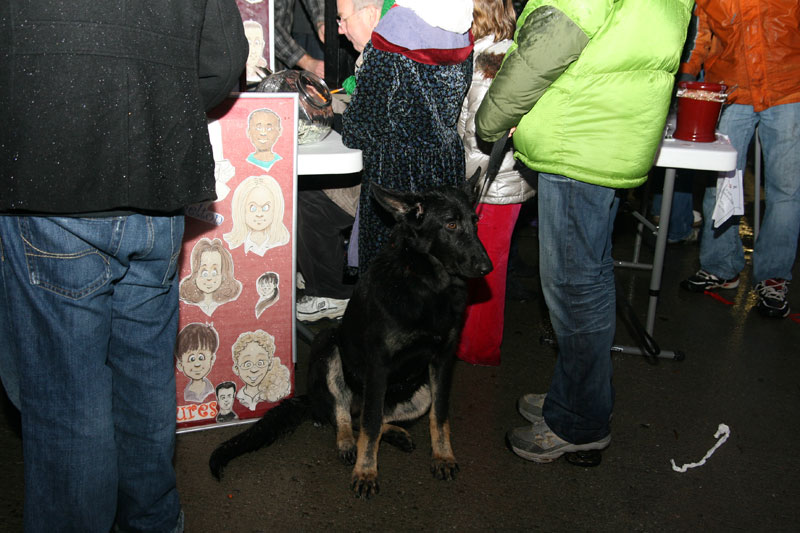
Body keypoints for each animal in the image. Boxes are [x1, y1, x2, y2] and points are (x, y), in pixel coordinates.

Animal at [209, 177, 490, 496]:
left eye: (475, 221)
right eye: (451, 224)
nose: (487, 267)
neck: (428, 284)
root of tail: (312, 398)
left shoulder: (442, 361)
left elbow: (438, 416)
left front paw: (443, 455)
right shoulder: (378, 365)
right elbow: (370, 425)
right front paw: (366, 472)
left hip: (420, 392)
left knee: (368, 416)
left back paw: (395, 434)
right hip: (328, 345)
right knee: (345, 414)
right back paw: (346, 443)